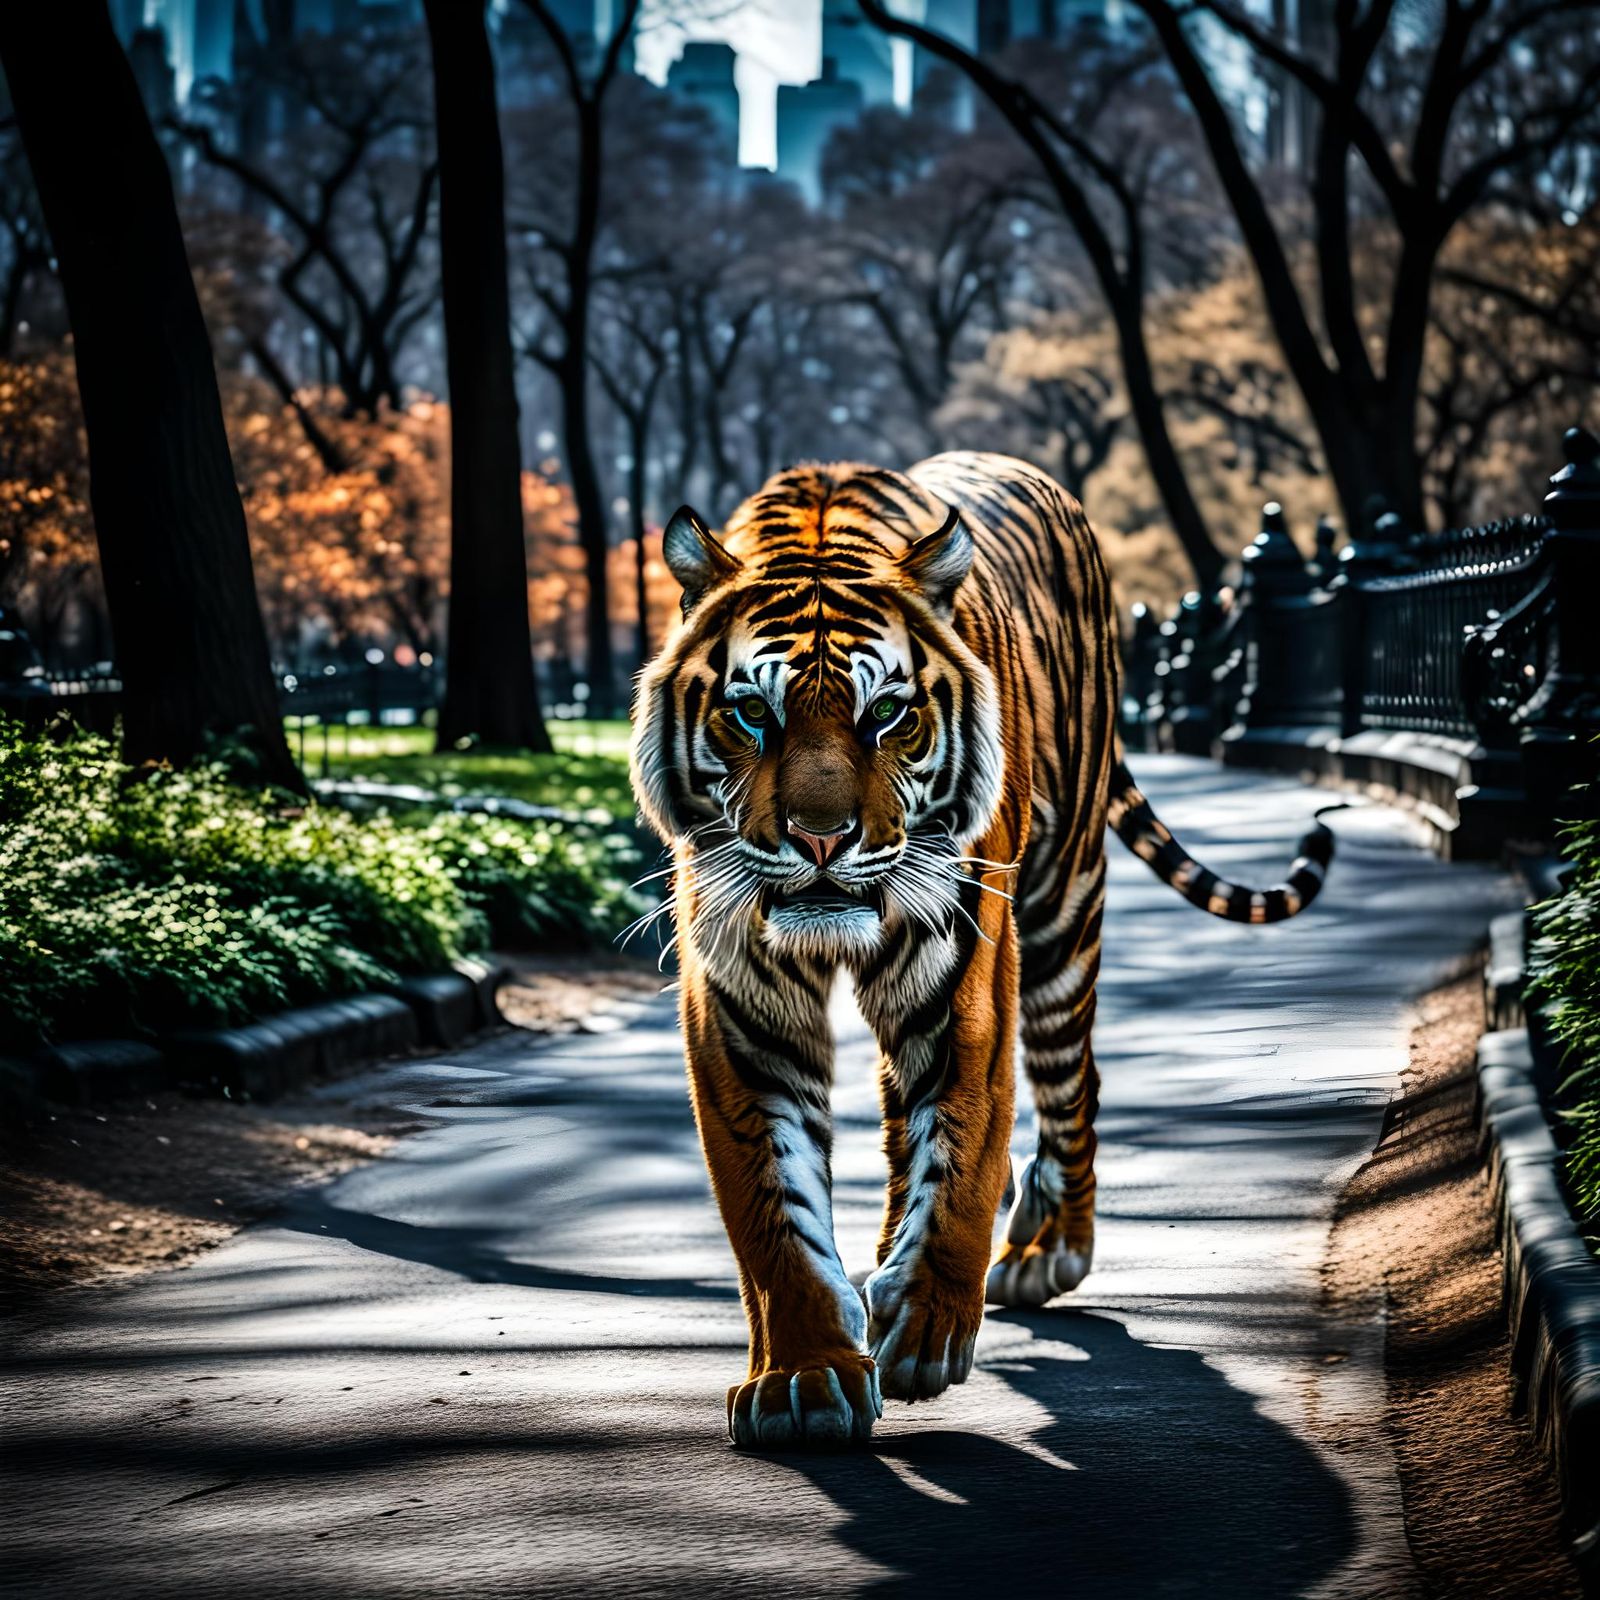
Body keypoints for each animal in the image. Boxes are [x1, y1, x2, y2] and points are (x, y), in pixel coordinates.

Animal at [629, 452, 1333, 1449]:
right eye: (754, 715)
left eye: (887, 713)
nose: (820, 839)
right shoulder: (743, 1002)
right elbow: (773, 1204)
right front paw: (805, 1375)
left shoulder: (965, 977)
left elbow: (963, 1147)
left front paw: (927, 1327)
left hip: (1062, 909)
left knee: (1073, 1082)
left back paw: (1049, 1245)